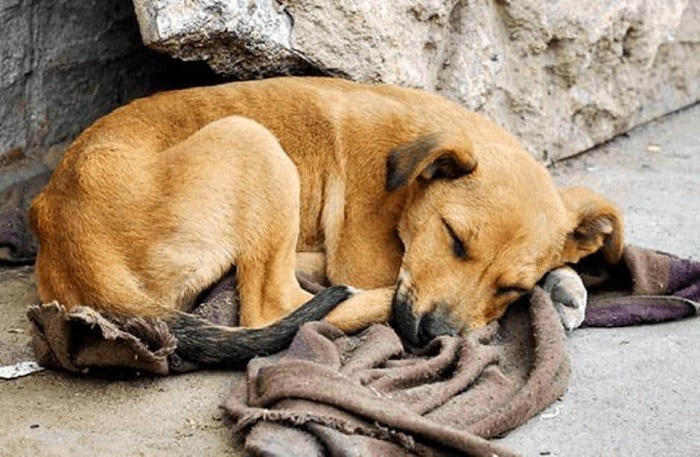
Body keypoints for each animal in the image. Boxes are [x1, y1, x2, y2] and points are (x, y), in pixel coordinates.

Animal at [28, 76, 624, 368]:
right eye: (454, 238)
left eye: (511, 286)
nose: (433, 336)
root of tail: (70, 237)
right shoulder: (369, 258)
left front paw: (564, 283)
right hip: (252, 141)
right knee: (274, 306)